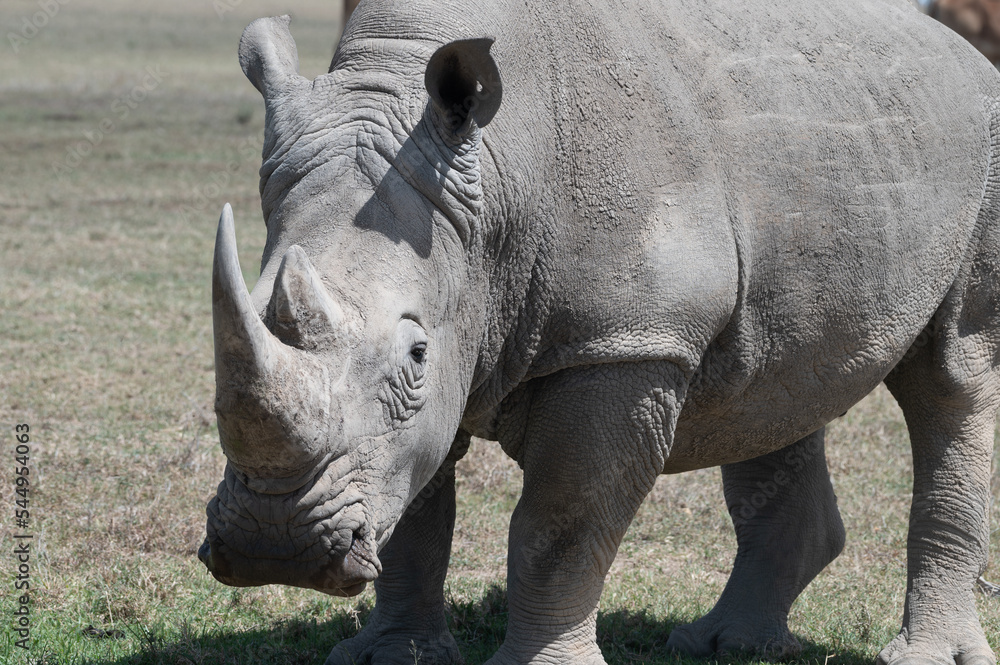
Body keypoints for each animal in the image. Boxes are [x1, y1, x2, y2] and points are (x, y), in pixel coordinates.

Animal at [198, 0, 1000, 663]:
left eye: (417, 355)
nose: (274, 545)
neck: (494, 186)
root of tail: (960, 49)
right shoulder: (462, 315)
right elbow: (418, 506)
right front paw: (391, 657)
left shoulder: (625, 340)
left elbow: (561, 524)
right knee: (775, 388)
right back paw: (726, 644)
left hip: (981, 148)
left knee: (952, 376)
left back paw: (922, 655)